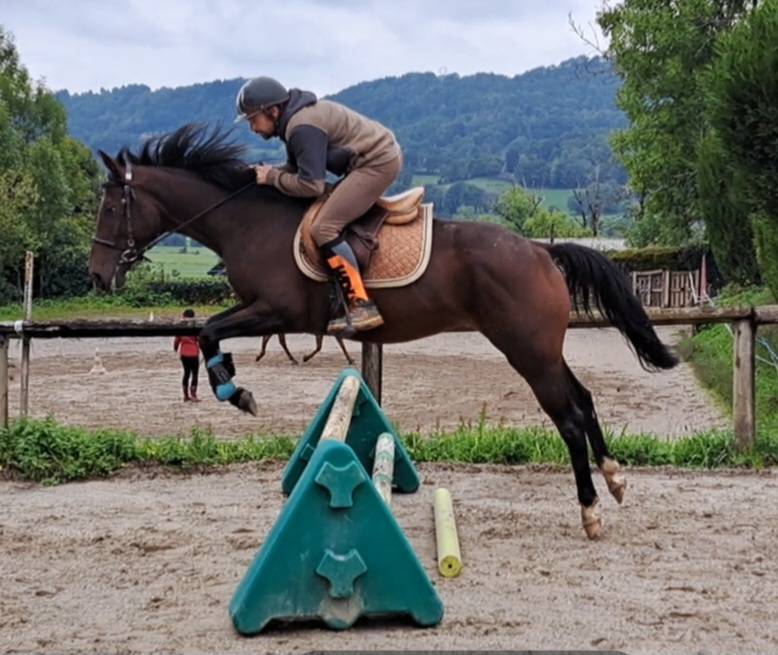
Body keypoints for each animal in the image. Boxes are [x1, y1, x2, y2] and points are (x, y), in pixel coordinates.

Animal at [88, 124, 677, 539]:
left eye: (113, 205)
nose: (97, 276)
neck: (250, 223)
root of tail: (540, 250)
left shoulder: (276, 311)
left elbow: (210, 332)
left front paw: (237, 392)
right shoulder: (261, 310)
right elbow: (209, 332)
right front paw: (232, 385)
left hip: (526, 351)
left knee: (569, 417)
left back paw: (591, 511)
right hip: (543, 350)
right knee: (584, 399)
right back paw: (615, 479)